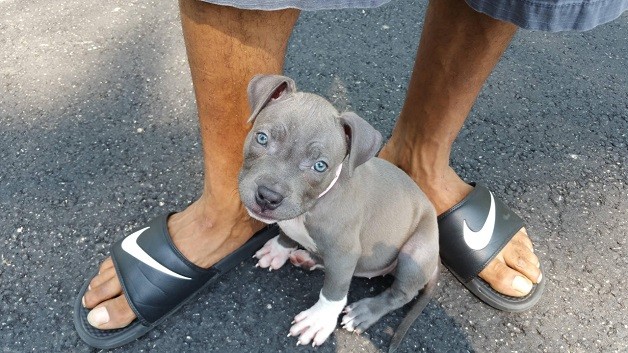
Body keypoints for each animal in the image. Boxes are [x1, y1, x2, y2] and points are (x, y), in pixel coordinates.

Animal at [238, 73, 440, 350]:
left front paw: (318, 320)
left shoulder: (345, 252)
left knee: (401, 294)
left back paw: (364, 311)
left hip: (416, 252)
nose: (268, 197)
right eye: (262, 138)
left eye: (320, 166)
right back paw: (308, 258)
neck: (313, 205)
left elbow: (334, 291)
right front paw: (280, 248)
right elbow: (288, 234)